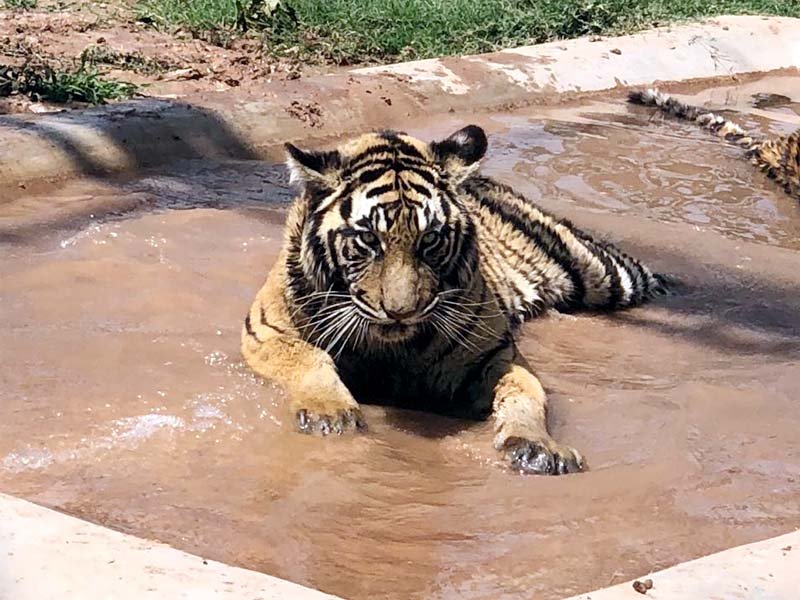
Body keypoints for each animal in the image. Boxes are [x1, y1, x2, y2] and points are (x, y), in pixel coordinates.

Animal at [242, 124, 668, 476]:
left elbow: (526, 393)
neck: (389, 348)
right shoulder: (265, 330)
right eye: (368, 239)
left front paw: (538, 447)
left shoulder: (495, 354)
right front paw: (329, 414)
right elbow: (308, 357)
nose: (401, 312)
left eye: (430, 239)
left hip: (604, 273)